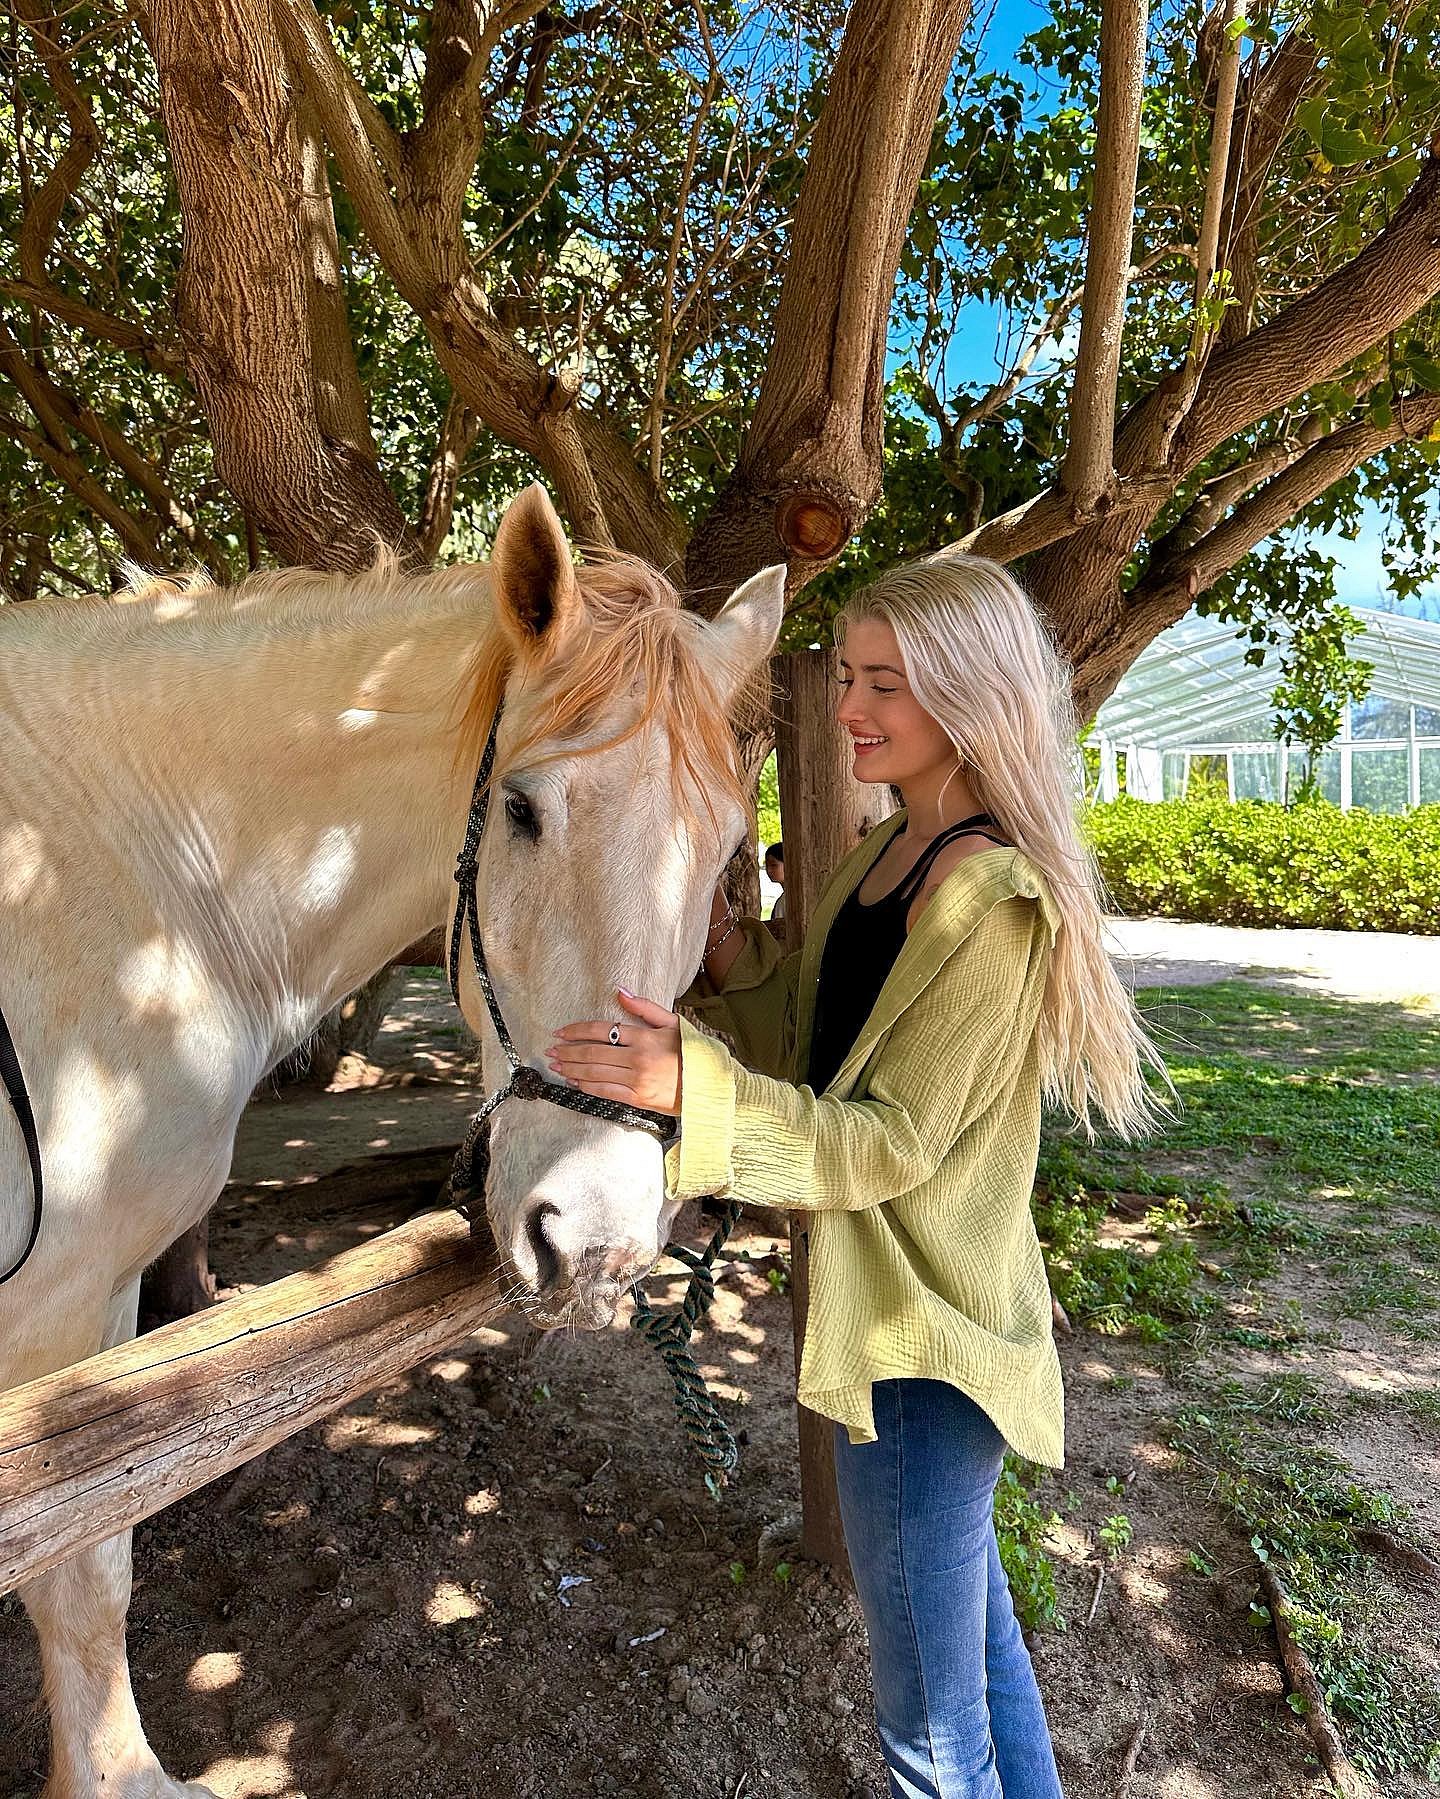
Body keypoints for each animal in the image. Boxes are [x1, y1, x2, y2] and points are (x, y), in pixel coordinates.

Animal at [0, 482, 784, 1798]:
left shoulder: (98, 1304)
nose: (599, 1244)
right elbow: (72, 1571)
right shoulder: (53, 1306)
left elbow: (93, 1557)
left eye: (730, 845)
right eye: (520, 810)